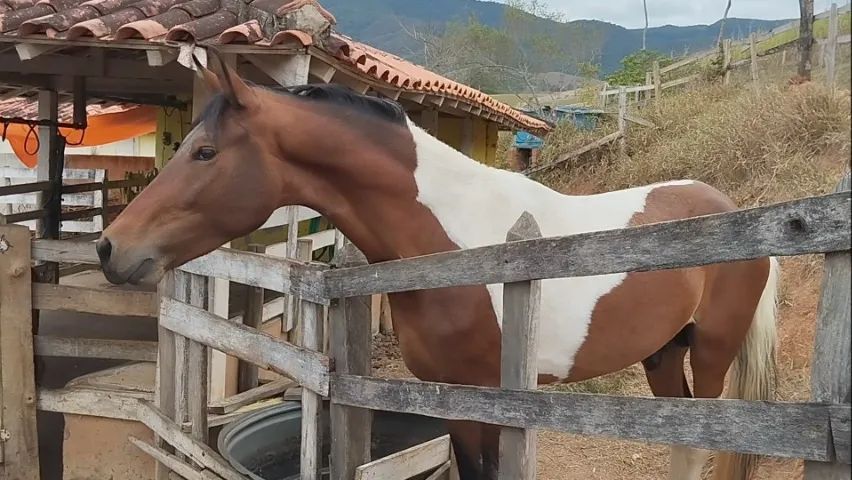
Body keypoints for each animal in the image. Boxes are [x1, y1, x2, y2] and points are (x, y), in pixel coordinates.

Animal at [96, 54, 778, 480]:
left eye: (205, 152)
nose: (110, 248)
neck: (458, 250)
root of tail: (729, 207)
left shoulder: (493, 401)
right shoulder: (450, 402)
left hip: (712, 353)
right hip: (662, 354)